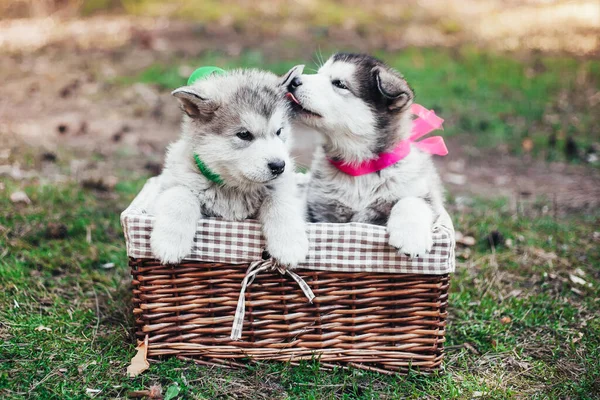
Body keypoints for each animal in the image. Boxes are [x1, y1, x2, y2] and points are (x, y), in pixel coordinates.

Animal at [286, 54, 446, 256]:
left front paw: (410, 237)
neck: (360, 167)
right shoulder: (320, 211)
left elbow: (411, 201)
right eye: (319, 73)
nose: (293, 81)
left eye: (339, 84)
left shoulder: (425, 194)